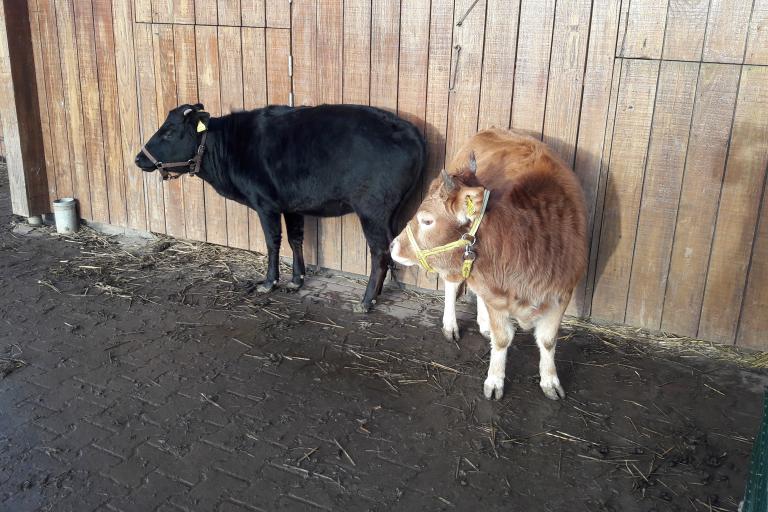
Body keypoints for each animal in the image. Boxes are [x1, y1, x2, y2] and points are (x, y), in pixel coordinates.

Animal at [392, 129, 584, 400]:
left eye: (427, 220)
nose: (393, 246)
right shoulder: (497, 294)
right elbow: (503, 339)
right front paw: (495, 380)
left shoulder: (562, 294)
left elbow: (547, 340)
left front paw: (550, 380)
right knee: (452, 285)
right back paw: (451, 325)